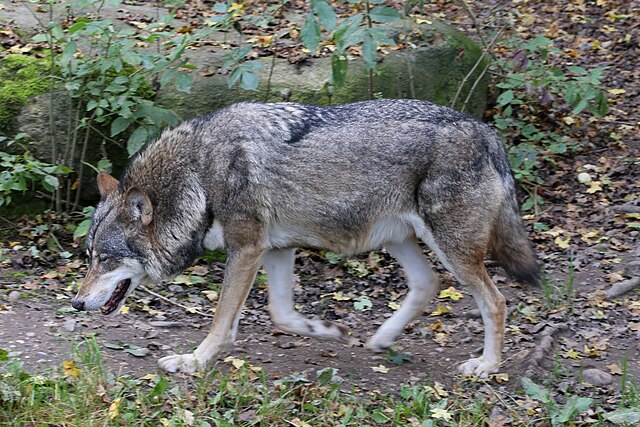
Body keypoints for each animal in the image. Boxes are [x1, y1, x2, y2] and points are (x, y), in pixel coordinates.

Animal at [72, 99, 539, 377]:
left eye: (105, 260)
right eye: (89, 256)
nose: (76, 303)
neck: (197, 178)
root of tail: (486, 132)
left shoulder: (247, 249)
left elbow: (221, 320)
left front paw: (193, 361)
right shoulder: (276, 250)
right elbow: (281, 314)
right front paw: (325, 330)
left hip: (451, 249)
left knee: (496, 301)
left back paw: (487, 365)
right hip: (400, 241)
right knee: (428, 284)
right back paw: (381, 339)